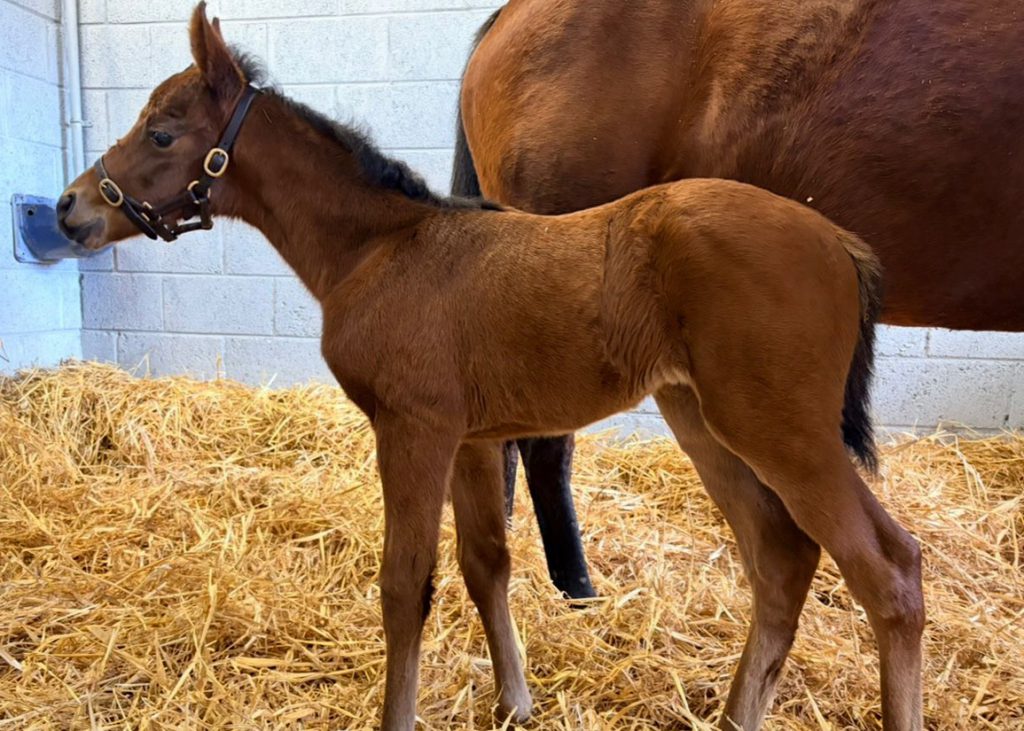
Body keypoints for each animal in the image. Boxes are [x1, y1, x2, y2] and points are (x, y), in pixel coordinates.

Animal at [57, 5, 923, 729]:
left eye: (162, 133)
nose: (70, 208)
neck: (379, 248)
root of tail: (840, 242)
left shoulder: (413, 429)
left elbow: (406, 582)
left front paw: (400, 716)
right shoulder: (472, 438)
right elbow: (486, 564)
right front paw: (515, 701)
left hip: (781, 431)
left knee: (888, 568)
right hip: (703, 420)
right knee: (781, 558)